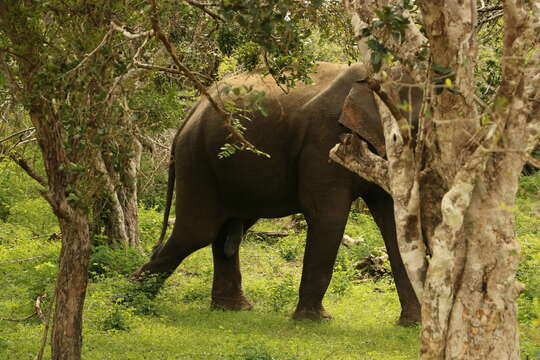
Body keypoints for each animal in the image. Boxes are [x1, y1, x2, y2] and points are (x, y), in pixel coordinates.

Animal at [135, 61, 422, 324]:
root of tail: (191, 112)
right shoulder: (323, 141)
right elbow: (328, 215)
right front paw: (314, 321)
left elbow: (396, 222)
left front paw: (413, 324)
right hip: (197, 159)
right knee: (197, 231)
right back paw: (131, 299)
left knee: (225, 231)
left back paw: (234, 309)